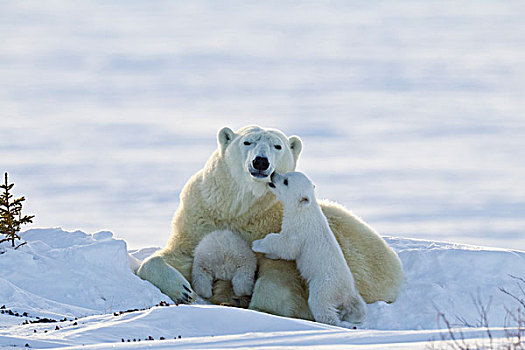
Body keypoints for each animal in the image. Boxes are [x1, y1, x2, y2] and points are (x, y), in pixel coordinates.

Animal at [252, 172, 366, 328]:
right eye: (286, 174)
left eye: (286, 181)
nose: (273, 174)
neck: (305, 211)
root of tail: (345, 292)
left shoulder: (300, 231)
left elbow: (287, 246)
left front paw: (257, 244)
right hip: (350, 292)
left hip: (325, 286)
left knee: (321, 305)